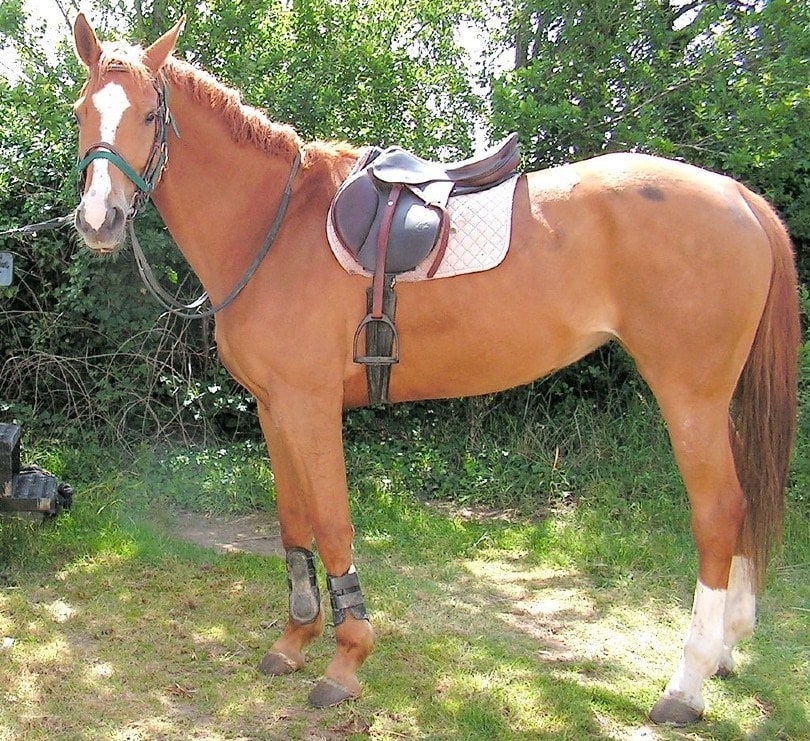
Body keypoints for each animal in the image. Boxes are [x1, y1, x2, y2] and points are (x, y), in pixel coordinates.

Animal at [70, 14, 799, 725]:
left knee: (718, 511)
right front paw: (295, 639)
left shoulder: (310, 403)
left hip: (689, 394)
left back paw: (687, 683)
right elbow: (293, 521)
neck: (274, 225)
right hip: (719, 399)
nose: (99, 220)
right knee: (744, 499)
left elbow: (332, 521)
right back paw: (727, 649)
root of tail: (735, 193)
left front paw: (346, 659)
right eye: (81, 111)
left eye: (146, 115)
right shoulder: (274, 406)